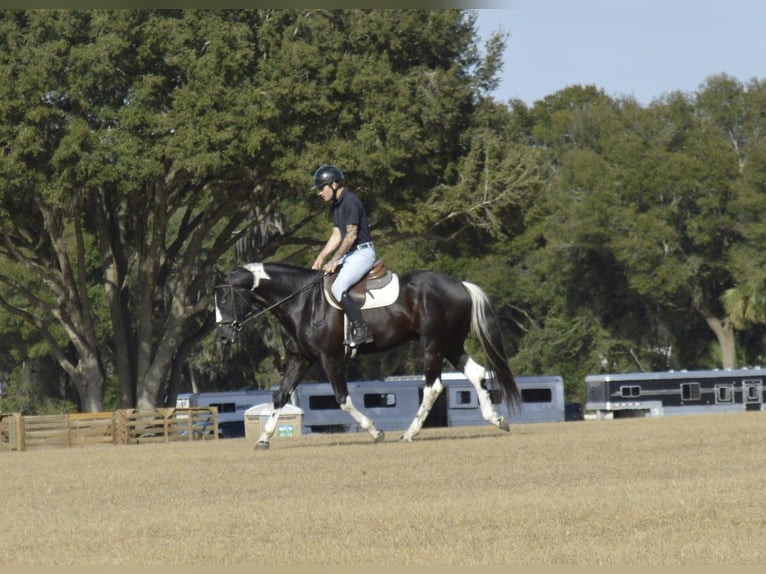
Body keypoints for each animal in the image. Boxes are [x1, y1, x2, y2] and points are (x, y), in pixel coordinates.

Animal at [214, 261, 520, 449]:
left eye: (226, 298)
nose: (223, 337)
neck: (301, 302)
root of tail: (460, 285)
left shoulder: (330, 358)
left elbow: (342, 399)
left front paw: (375, 431)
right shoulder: (300, 359)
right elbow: (280, 396)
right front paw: (263, 439)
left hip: (433, 345)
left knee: (433, 387)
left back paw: (409, 433)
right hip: (451, 344)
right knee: (477, 374)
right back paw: (497, 420)